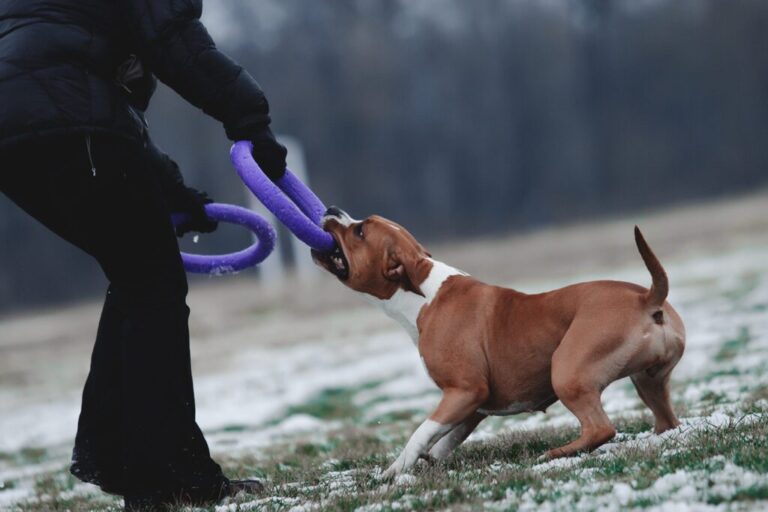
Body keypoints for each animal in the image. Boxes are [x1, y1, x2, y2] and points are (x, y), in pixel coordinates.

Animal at [312, 206, 684, 478]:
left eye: (360, 231)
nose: (331, 208)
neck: (422, 293)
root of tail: (647, 298)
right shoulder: (471, 403)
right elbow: (446, 437)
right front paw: (430, 461)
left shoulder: (464, 390)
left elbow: (422, 431)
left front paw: (394, 472)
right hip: (648, 382)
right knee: (666, 421)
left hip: (567, 371)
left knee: (601, 428)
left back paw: (555, 453)